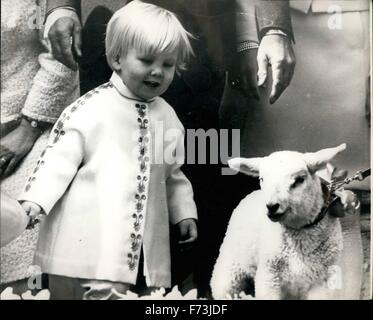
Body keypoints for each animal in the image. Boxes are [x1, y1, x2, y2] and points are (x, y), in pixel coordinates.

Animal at [211, 144, 348, 298]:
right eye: (262, 179)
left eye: (299, 179)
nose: (271, 206)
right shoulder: (269, 277)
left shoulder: (322, 281)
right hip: (229, 272)